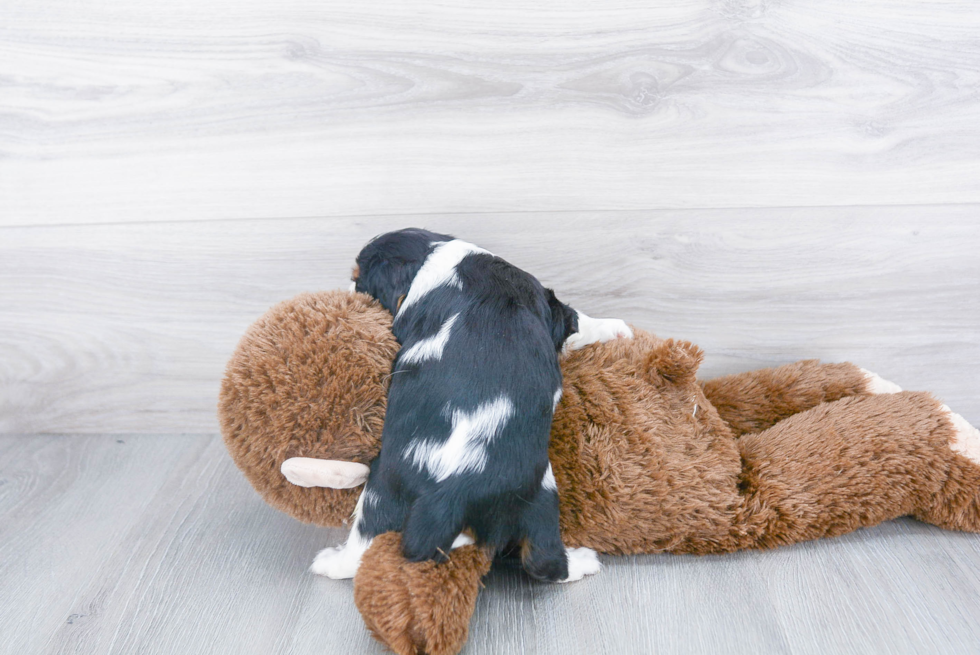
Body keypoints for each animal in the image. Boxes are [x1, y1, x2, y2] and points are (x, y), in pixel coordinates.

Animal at [314, 231, 636, 584]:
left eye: (358, 280)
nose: (349, 293)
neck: (434, 256)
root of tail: (449, 493)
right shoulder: (545, 303)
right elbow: (573, 320)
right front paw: (616, 329)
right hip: (538, 495)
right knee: (544, 560)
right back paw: (582, 562)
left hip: (383, 487)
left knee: (364, 540)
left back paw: (330, 563)